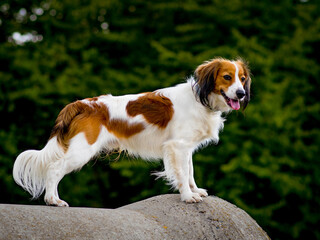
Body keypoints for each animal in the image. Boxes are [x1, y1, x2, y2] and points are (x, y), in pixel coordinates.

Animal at [12, 58, 251, 206]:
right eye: (227, 77)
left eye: (242, 79)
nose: (241, 93)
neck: (201, 100)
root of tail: (82, 103)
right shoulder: (178, 147)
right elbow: (183, 174)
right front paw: (187, 196)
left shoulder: (185, 148)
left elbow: (190, 172)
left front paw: (195, 190)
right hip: (82, 150)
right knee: (54, 169)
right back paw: (53, 200)